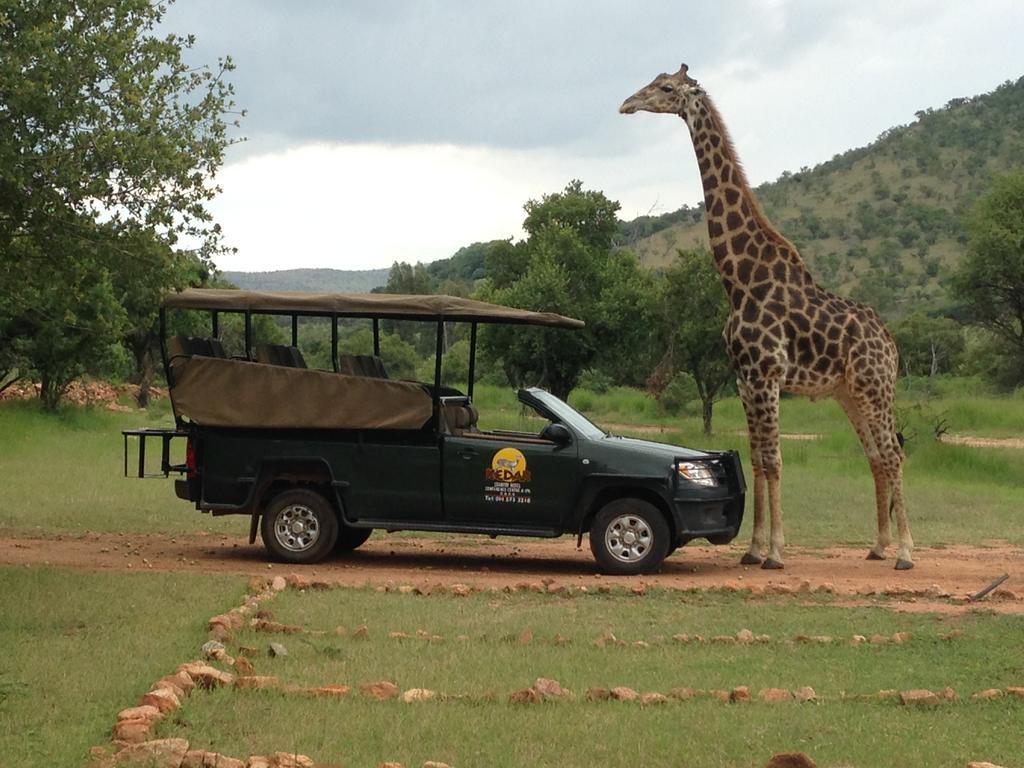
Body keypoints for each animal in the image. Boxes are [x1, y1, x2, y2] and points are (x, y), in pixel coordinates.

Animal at [614, 64, 913, 573]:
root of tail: (891, 342)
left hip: (875, 385)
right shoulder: (744, 377)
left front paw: (774, 552)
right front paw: (752, 550)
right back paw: (878, 546)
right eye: (652, 81)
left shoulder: (766, 374)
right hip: (849, 392)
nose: (627, 104)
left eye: (667, 88)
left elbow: (773, 460)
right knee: (876, 454)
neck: (739, 279)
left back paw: (907, 553)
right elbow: (755, 459)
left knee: (893, 452)